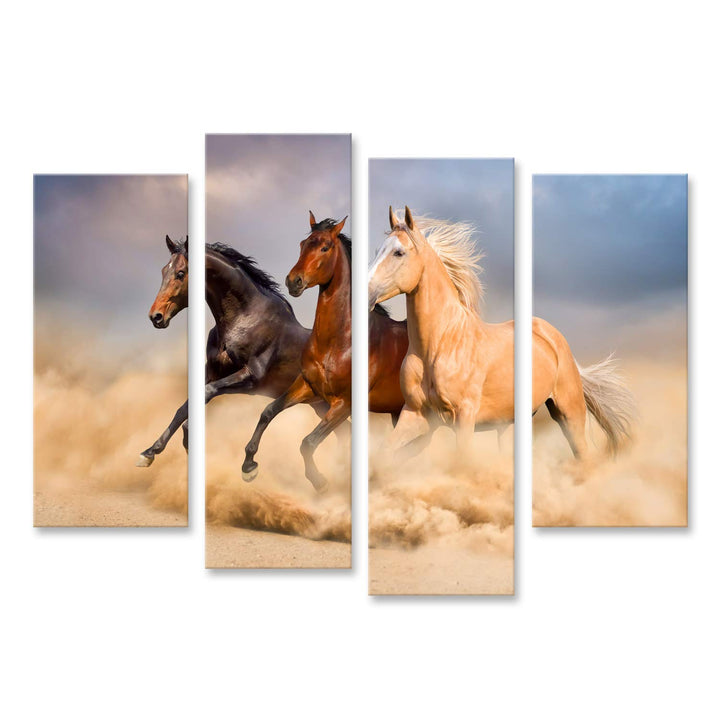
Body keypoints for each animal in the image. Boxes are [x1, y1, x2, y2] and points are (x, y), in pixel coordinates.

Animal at [136, 236, 328, 467]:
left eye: (181, 273)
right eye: (164, 271)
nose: (156, 316)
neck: (244, 319)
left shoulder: (251, 377)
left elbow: (207, 392)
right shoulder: (213, 371)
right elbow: (185, 407)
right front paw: (150, 452)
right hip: (321, 406)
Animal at [368, 206, 634, 462]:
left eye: (398, 252)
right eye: (378, 251)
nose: (367, 292)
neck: (440, 344)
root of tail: (554, 338)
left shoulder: (464, 416)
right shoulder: (415, 414)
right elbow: (384, 454)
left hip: (569, 412)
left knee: (583, 455)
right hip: (509, 424)